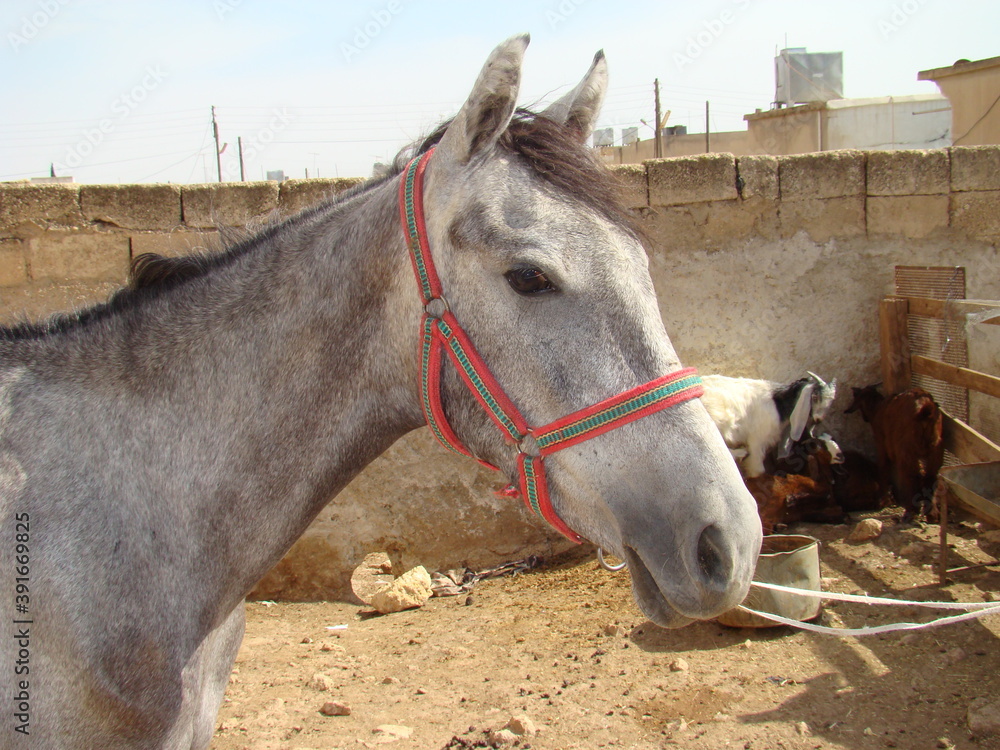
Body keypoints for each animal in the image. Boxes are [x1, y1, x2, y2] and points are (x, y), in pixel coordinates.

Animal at [704, 374, 836, 478]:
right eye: (815, 397)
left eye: (831, 401)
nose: (819, 419)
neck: (778, 403)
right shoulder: (757, 438)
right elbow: (758, 469)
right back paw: (740, 453)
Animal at [848, 384, 940, 520]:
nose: (865, 419)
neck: (877, 408)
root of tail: (925, 408)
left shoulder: (881, 443)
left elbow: (883, 467)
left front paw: (881, 499)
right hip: (935, 448)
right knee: (931, 476)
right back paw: (932, 514)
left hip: (907, 448)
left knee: (912, 475)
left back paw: (911, 510)